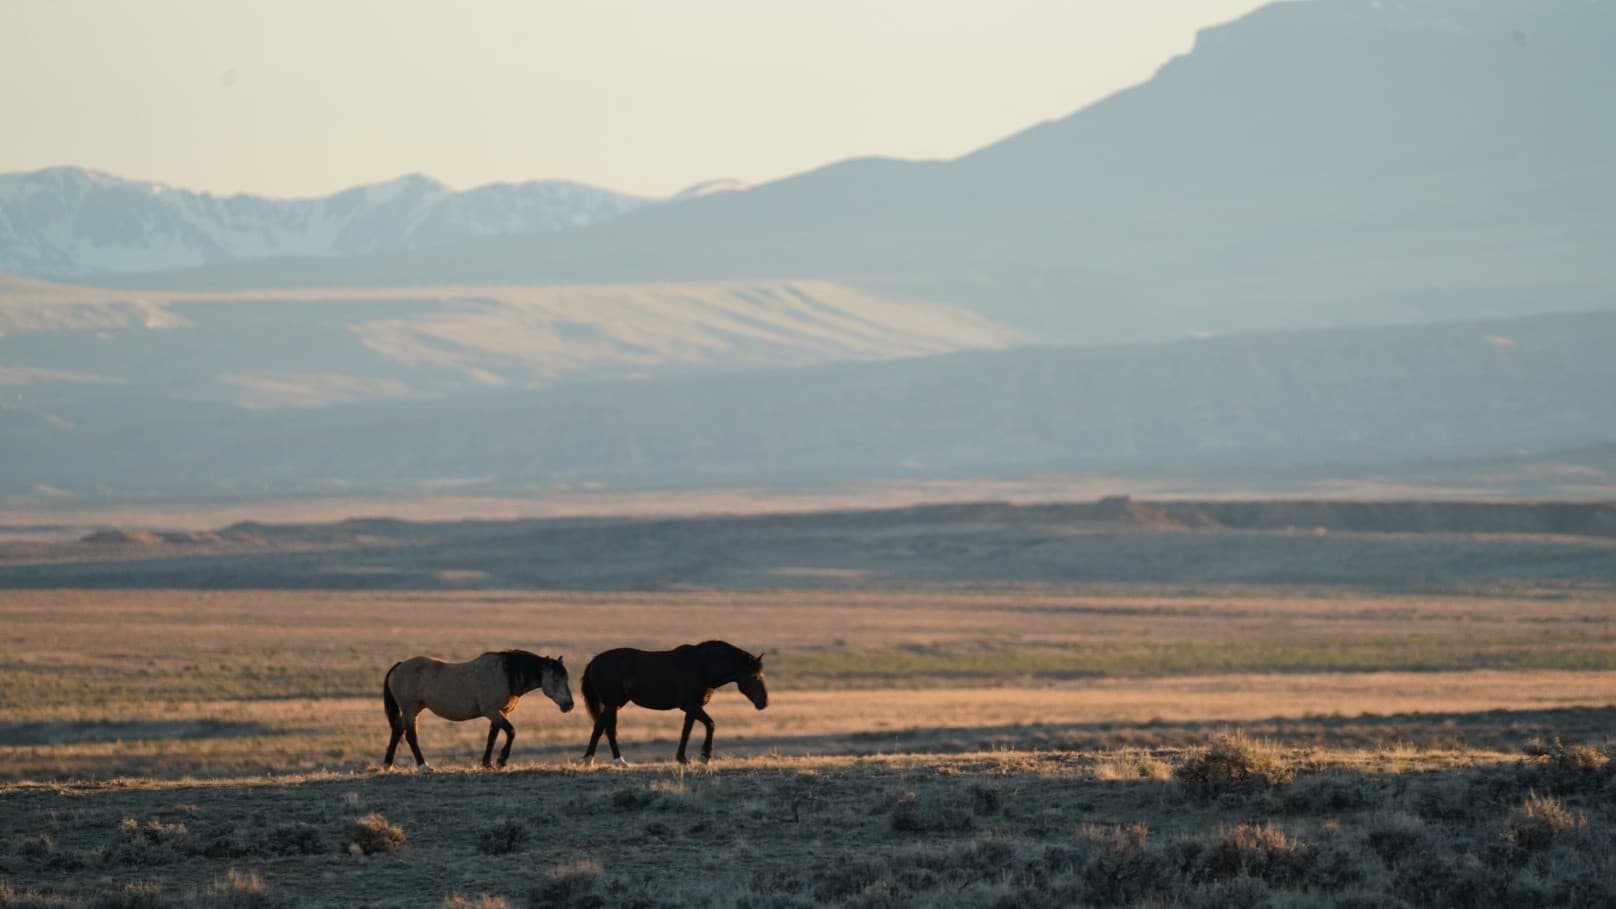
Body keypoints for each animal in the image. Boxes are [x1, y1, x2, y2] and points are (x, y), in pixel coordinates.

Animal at [382, 650, 574, 771]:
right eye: (556, 679)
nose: (569, 705)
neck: (505, 674)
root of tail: (399, 666)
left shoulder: (499, 713)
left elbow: (492, 737)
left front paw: (487, 763)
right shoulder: (492, 712)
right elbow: (511, 731)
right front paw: (501, 761)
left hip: (412, 710)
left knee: (397, 731)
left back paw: (387, 764)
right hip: (411, 709)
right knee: (410, 736)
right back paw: (423, 766)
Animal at [580, 640, 767, 765]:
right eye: (754, 677)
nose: (763, 702)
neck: (702, 667)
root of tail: (595, 661)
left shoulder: (693, 707)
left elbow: (687, 731)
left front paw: (682, 758)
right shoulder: (691, 705)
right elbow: (710, 724)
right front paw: (704, 756)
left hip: (615, 703)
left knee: (599, 726)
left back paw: (589, 759)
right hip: (612, 703)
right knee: (609, 729)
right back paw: (619, 761)